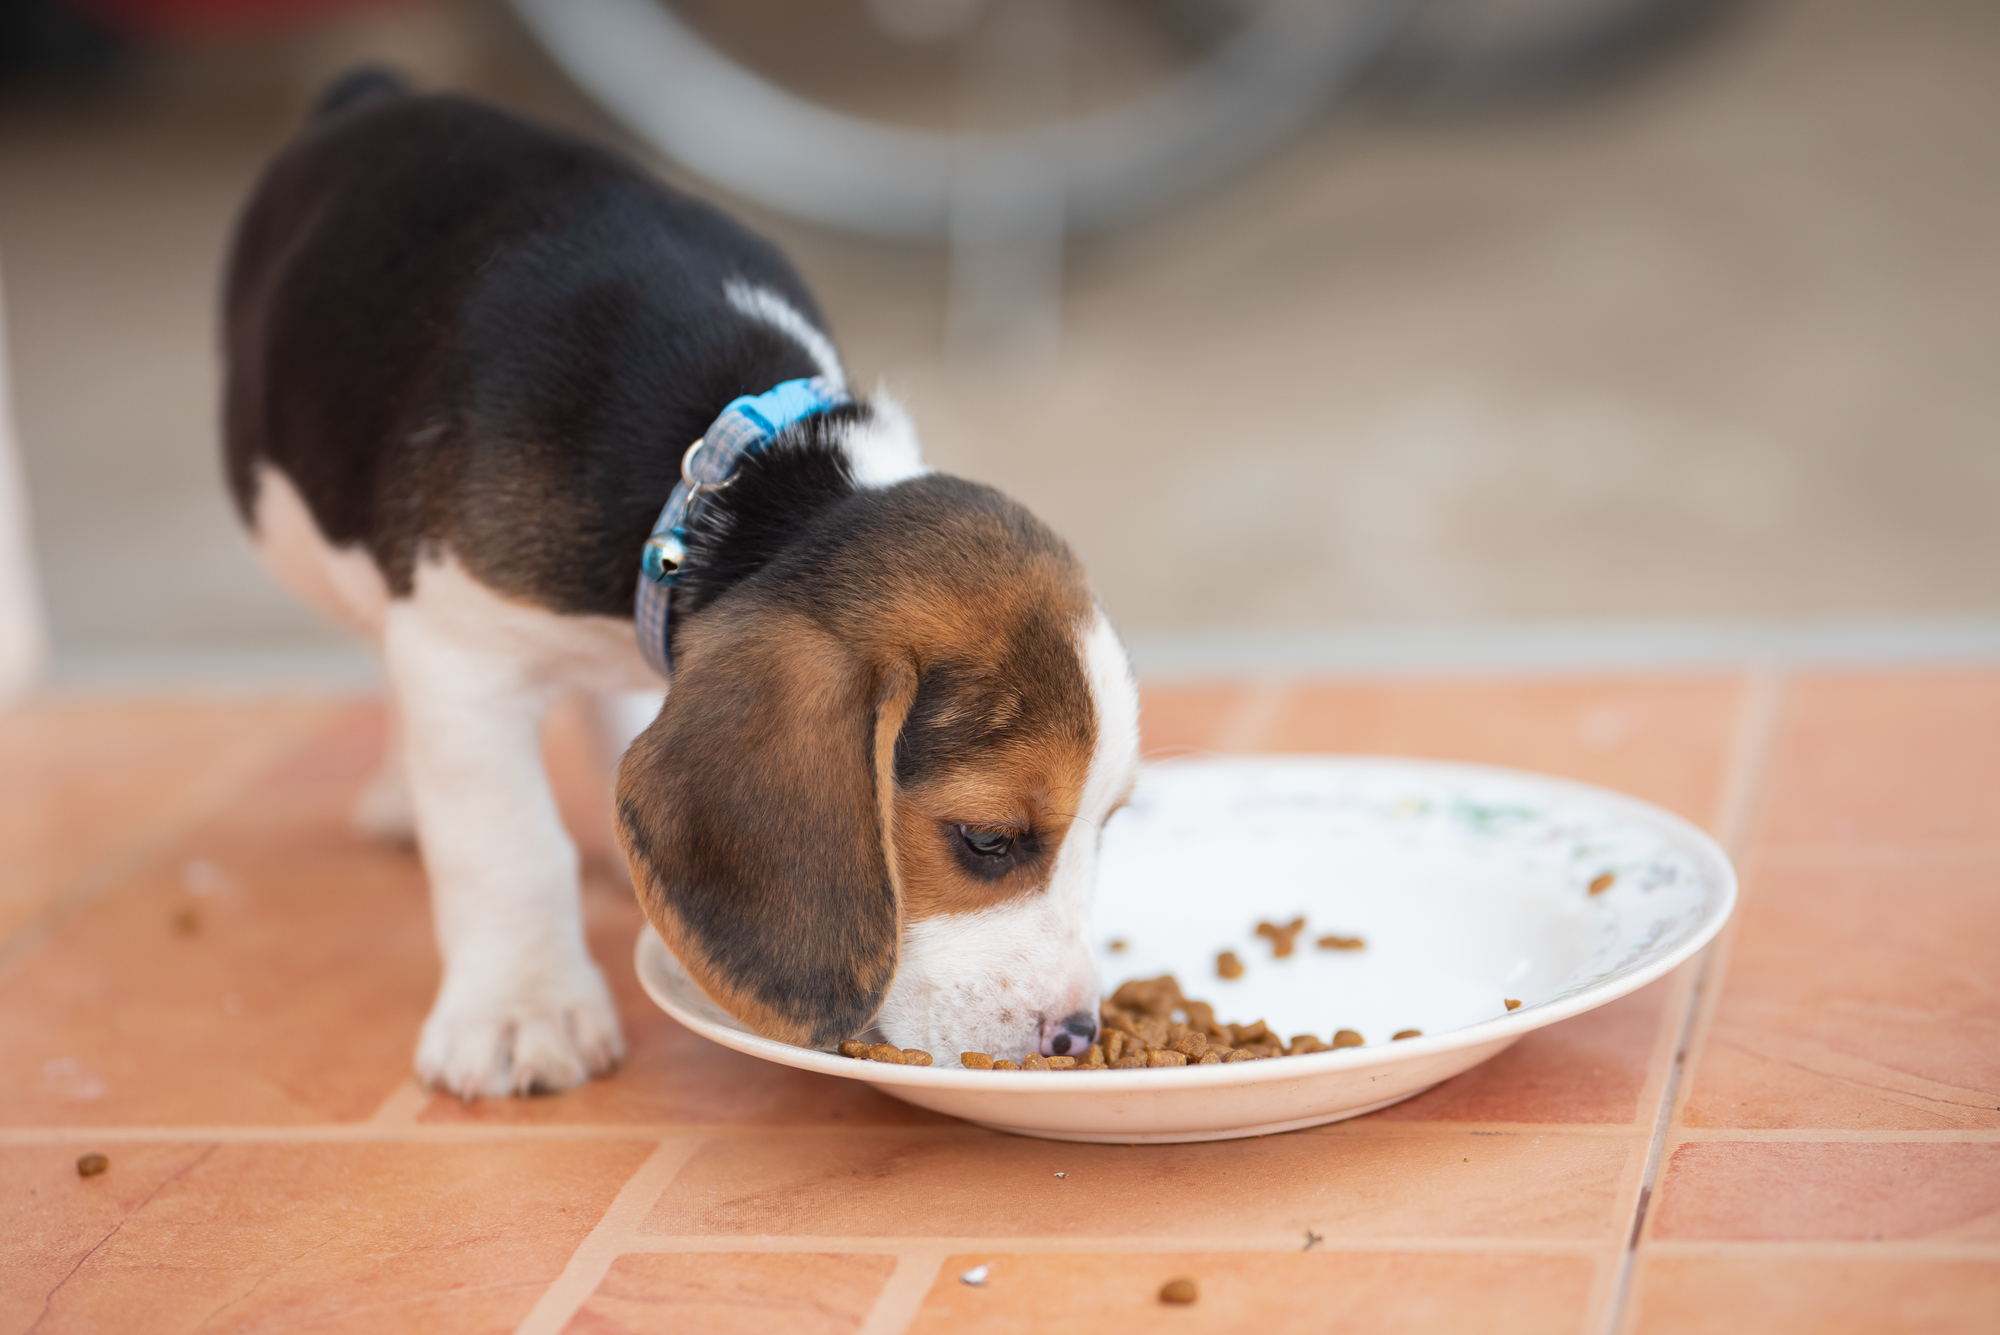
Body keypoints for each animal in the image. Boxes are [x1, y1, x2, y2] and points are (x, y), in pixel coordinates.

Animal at [223, 67, 1144, 1103]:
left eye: (1107, 825)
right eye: (987, 840)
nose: (1077, 1036)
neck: (739, 475)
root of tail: (373, 90)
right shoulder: (459, 655)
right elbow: (508, 847)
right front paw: (520, 1011)